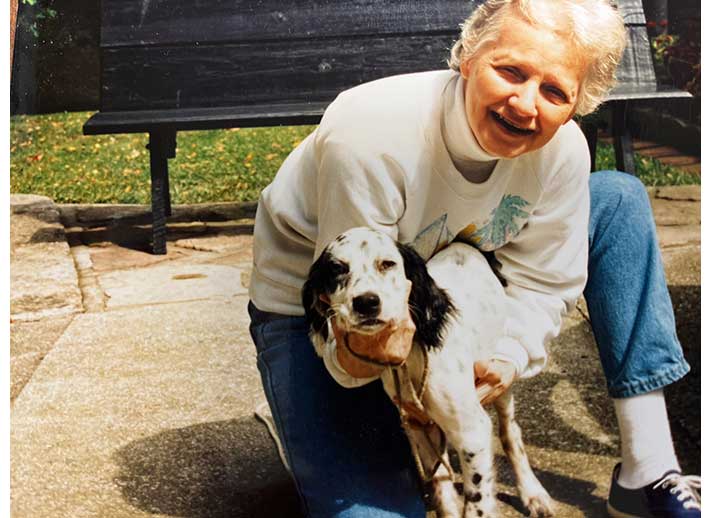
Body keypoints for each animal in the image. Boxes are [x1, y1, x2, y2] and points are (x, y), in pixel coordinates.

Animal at [304, 229, 552, 518]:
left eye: (387, 264)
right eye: (337, 269)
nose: (366, 302)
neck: (412, 354)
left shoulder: (473, 432)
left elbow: (476, 501)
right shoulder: (418, 424)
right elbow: (441, 480)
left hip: (499, 379)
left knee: (510, 432)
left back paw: (532, 492)